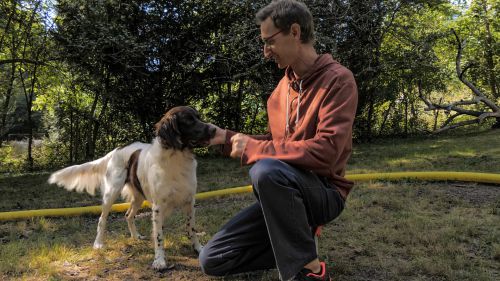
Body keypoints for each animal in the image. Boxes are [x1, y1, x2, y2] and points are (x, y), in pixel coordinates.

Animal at [47, 105, 217, 270]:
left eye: (198, 117)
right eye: (189, 121)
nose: (214, 129)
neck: (177, 159)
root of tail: (115, 150)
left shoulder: (189, 202)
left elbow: (191, 229)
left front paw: (199, 249)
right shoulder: (158, 206)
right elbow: (159, 236)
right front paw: (159, 261)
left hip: (139, 197)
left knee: (128, 215)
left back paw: (136, 237)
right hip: (111, 193)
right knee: (102, 219)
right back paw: (98, 243)